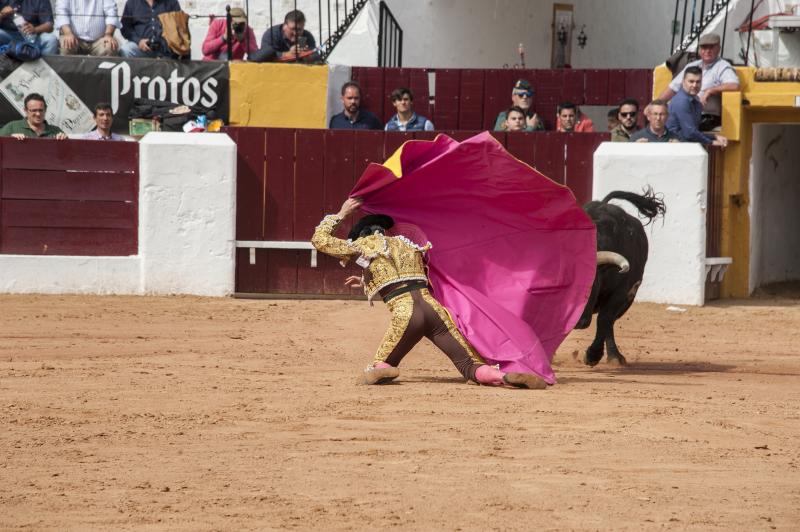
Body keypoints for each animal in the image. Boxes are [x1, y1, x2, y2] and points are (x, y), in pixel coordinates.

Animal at [580, 189, 664, 368]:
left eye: (592, 286)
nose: (579, 322)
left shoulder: (621, 292)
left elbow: (604, 320)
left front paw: (593, 355)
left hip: (627, 301)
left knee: (608, 323)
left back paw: (614, 357)